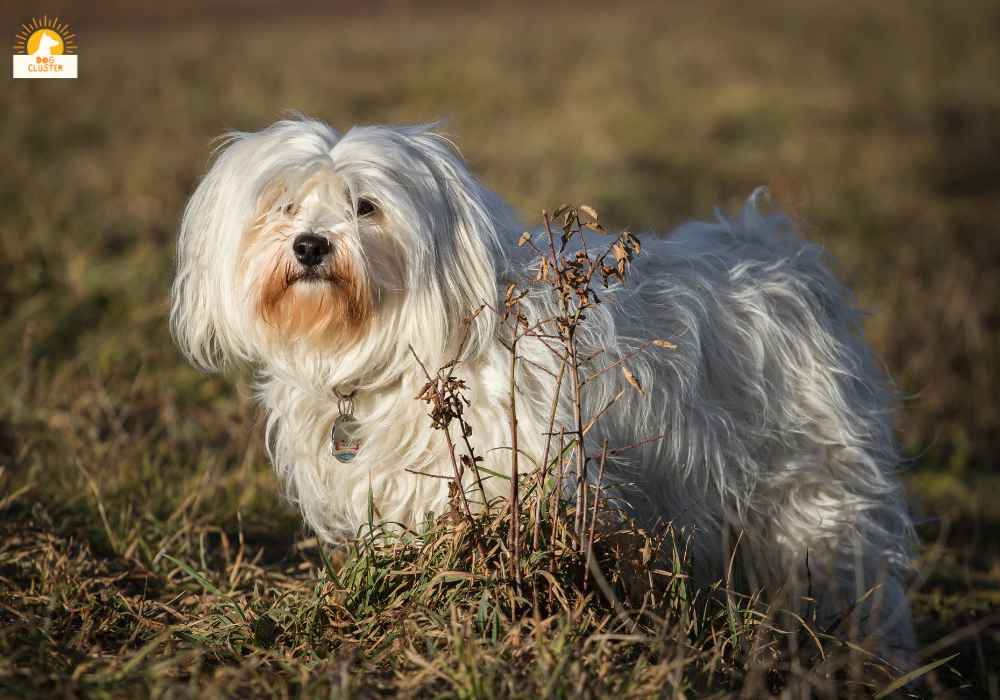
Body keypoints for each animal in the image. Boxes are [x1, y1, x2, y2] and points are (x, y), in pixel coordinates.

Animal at [170, 115, 916, 660]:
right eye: (285, 204)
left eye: (366, 207)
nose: (310, 245)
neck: (396, 349)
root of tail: (779, 257)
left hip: (813, 494)